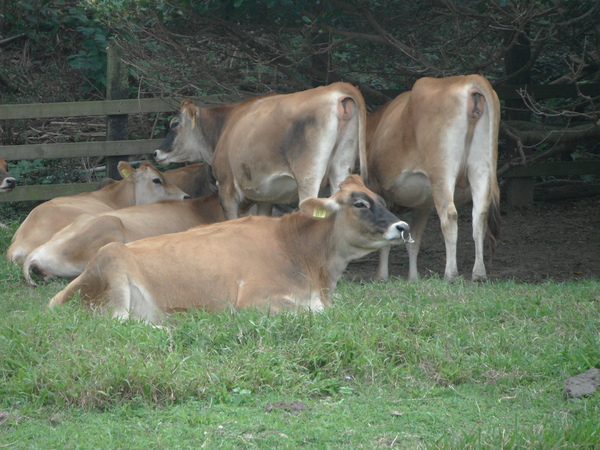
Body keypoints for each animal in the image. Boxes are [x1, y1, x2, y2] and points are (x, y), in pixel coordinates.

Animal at [49, 174, 410, 326]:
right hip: (112, 258)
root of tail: (55, 299)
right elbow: (316, 313)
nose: (403, 227)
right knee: (119, 321)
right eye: (360, 203)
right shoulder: (254, 301)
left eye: (379, 198)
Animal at [155, 83, 368, 221]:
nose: (157, 153)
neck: (225, 127)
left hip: (308, 176)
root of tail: (335, 89)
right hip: (341, 167)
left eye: (174, 124)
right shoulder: (266, 196)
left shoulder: (226, 187)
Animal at [368, 75, 500, 284]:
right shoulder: (424, 204)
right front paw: (413, 279)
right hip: (481, 167)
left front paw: (381, 276)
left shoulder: (379, 190)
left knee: (449, 215)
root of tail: (470, 79)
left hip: (442, 170)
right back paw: (479, 274)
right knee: (480, 215)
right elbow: (413, 241)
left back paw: (450, 274)